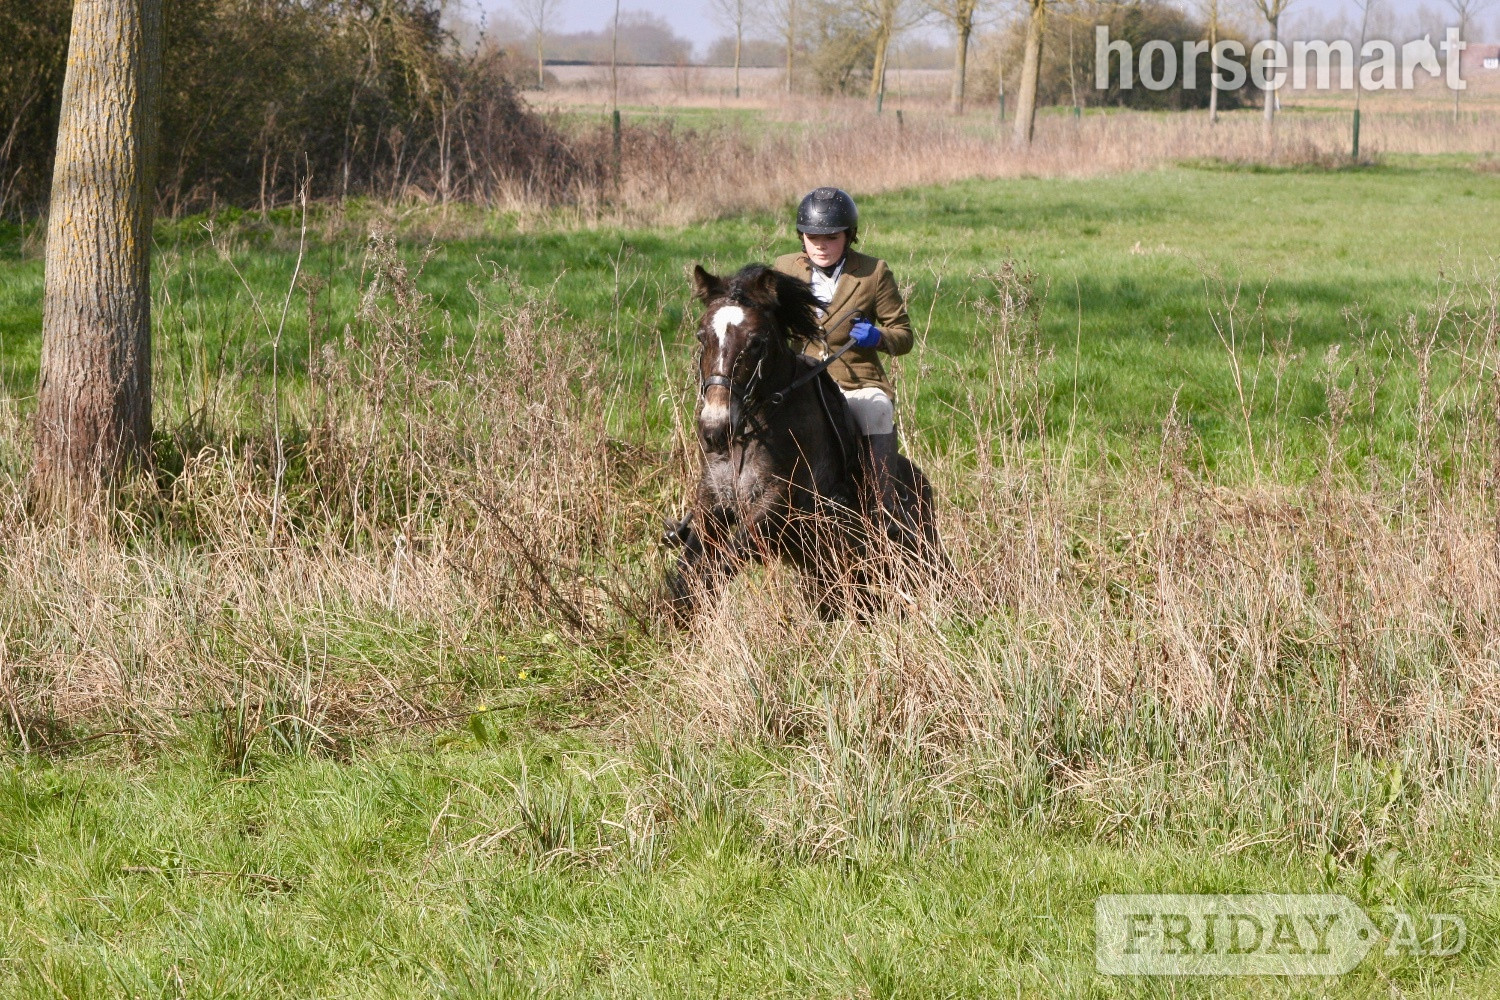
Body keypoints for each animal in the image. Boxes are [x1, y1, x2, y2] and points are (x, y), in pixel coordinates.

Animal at [664, 262, 944, 624]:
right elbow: (690, 571)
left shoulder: (776, 509)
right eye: (702, 337)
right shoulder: (712, 503)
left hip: (912, 549)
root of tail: (923, 485)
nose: (714, 429)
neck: (750, 431)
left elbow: (724, 561)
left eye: (757, 342)